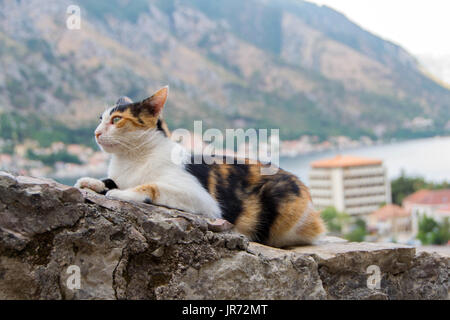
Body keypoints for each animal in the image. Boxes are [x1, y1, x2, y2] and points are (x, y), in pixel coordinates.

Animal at [75, 86, 326, 246]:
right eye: (100, 119)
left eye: (116, 119)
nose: (96, 133)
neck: (130, 158)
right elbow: (110, 180)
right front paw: (91, 181)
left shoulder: (203, 200)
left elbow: (152, 186)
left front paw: (122, 193)